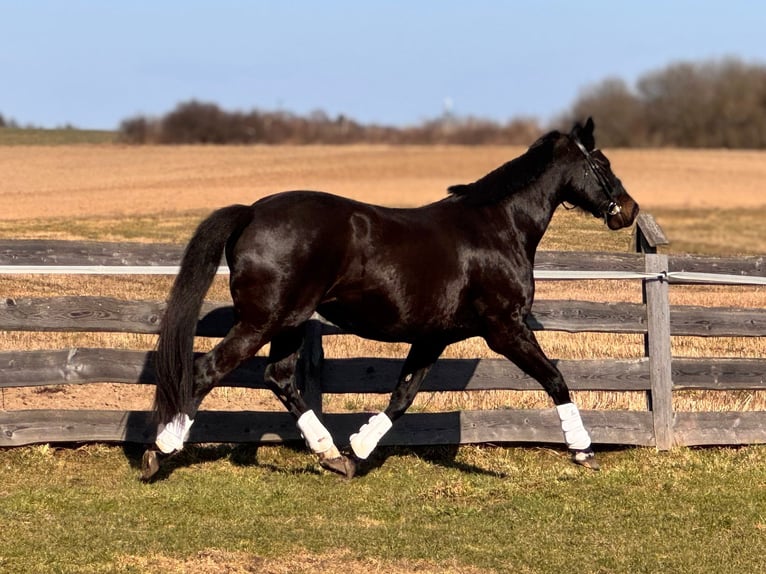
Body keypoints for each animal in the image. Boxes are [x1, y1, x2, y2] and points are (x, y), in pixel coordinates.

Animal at [141, 117, 639, 481]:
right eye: (602, 164)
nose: (629, 211)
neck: (499, 227)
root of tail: (250, 212)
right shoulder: (505, 328)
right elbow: (555, 379)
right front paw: (583, 451)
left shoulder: (433, 338)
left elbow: (402, 396)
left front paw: (358, 450)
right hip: (261, 322)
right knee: (205, 371)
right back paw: (159, 452)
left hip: (290, 322)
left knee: (279, 379)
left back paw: (329, 455)